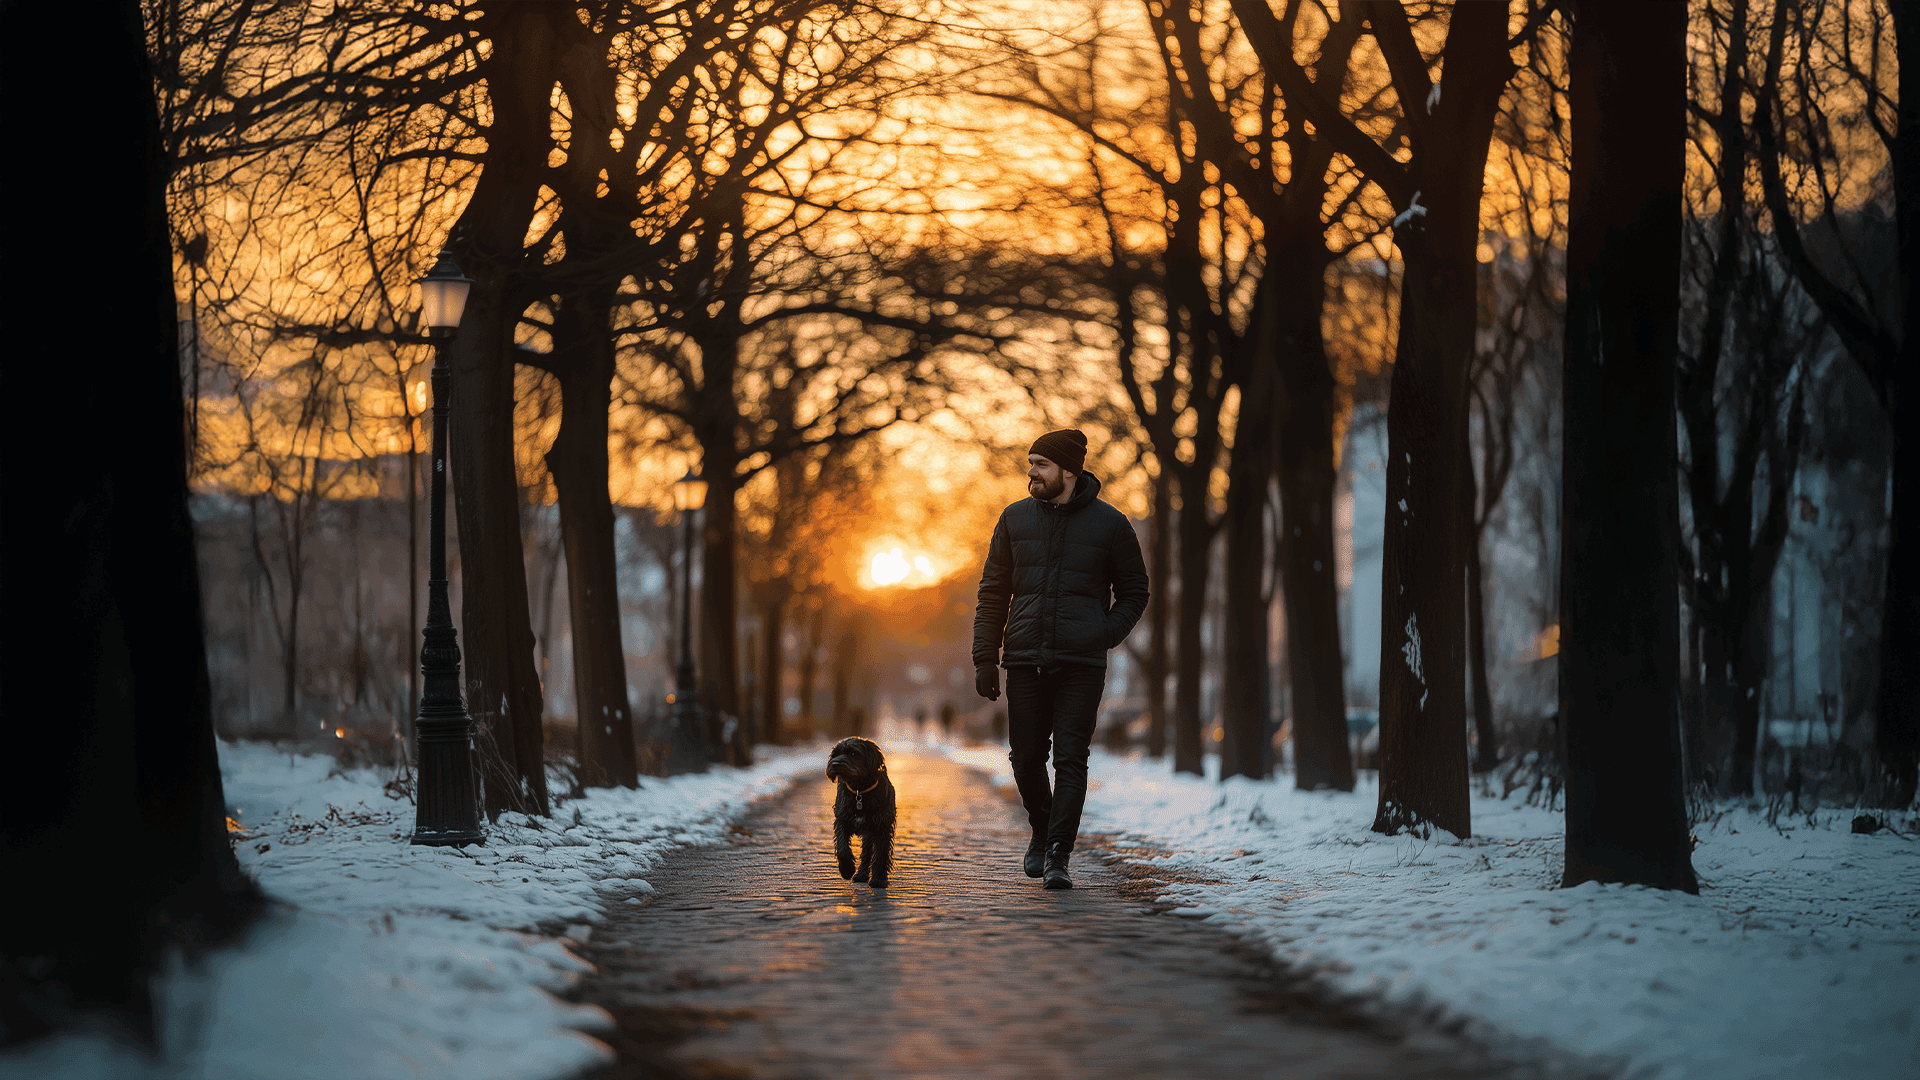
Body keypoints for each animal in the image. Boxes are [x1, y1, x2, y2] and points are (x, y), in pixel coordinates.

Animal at [825, 734, 898, 887]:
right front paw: (847, 870)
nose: (835, 764)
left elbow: (880, 853)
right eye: (836, 754)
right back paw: (861, 874)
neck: (860, 792)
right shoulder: (842, 820)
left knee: (867, 853)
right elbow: (842, 848)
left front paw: (878, 879)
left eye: (853, 753)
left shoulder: (882, 827)